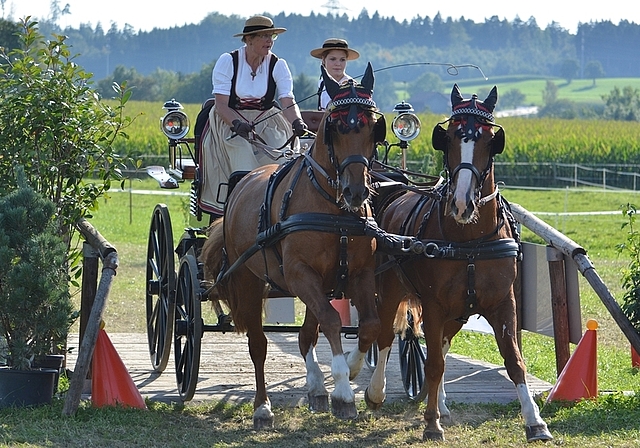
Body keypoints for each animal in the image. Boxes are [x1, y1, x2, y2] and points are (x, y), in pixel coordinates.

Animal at [200, 64, 384, 430]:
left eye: (374, 128)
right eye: (336, 128)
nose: (356, 191)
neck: (334, 209)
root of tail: (244, 179)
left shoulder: (359, 273)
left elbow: (367, 325)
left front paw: (350, 370)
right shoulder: (300, 274)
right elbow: (331, 321)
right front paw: (344, 392)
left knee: (306, 334)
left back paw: (316, 388)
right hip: (249, 279)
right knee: (259, 344)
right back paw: (262, 408)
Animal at [368, 86, 552, 442]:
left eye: (489, 140)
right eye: (450, 138)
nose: (463, 203)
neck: (470, 241)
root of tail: (394, 191)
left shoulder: (502, 303)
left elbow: (514, 360)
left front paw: (535, 421)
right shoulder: (434, 305)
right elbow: (434, 363)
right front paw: (431, 423)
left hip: (458, 312)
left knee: (440, 343)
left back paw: (439, 402)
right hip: (392, 289)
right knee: (385, 335)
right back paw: (377, 392)